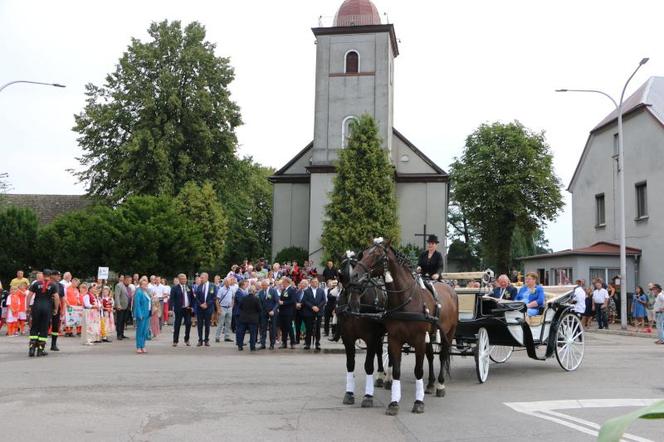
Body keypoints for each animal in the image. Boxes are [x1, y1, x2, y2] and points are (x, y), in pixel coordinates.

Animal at [338, 254, 390, 410]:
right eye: (342, 276)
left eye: (361, 280)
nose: (352, 306)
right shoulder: (347, 338)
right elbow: (350, 364)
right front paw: (349, 393)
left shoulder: (371, 337)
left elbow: (368, 366)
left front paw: (368, 396)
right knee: (380, 351)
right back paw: (380, 377)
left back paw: (388, 378)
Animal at [352, 238, 456, 414]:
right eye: (364, 253)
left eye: (377, 255)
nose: (354, 275)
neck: (406, 300)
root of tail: (450, 288)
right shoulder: (395, 338)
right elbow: (396, 370)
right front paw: (394, 402)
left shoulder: (419, 339)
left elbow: (418, 370)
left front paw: (418, 402)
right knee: (430, 356)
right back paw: (430, 384)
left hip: (448, 333)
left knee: (442, 356)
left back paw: (440, 385)